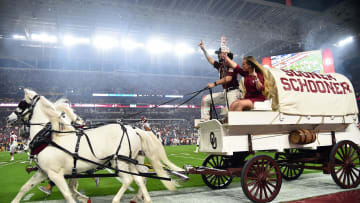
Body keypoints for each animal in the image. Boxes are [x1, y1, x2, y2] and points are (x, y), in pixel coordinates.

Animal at [6, 90, 183, 203]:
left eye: (22, 104)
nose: (8, 119)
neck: (50, 137)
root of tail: (134, 129)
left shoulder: (56, 173)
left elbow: (68, 193)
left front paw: (80, 197)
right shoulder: (44, 171)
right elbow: (24, 188)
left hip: (119, 161)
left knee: (129, 179)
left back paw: (117, 200)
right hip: (130, 161)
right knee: (140, 177)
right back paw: (143, 198)